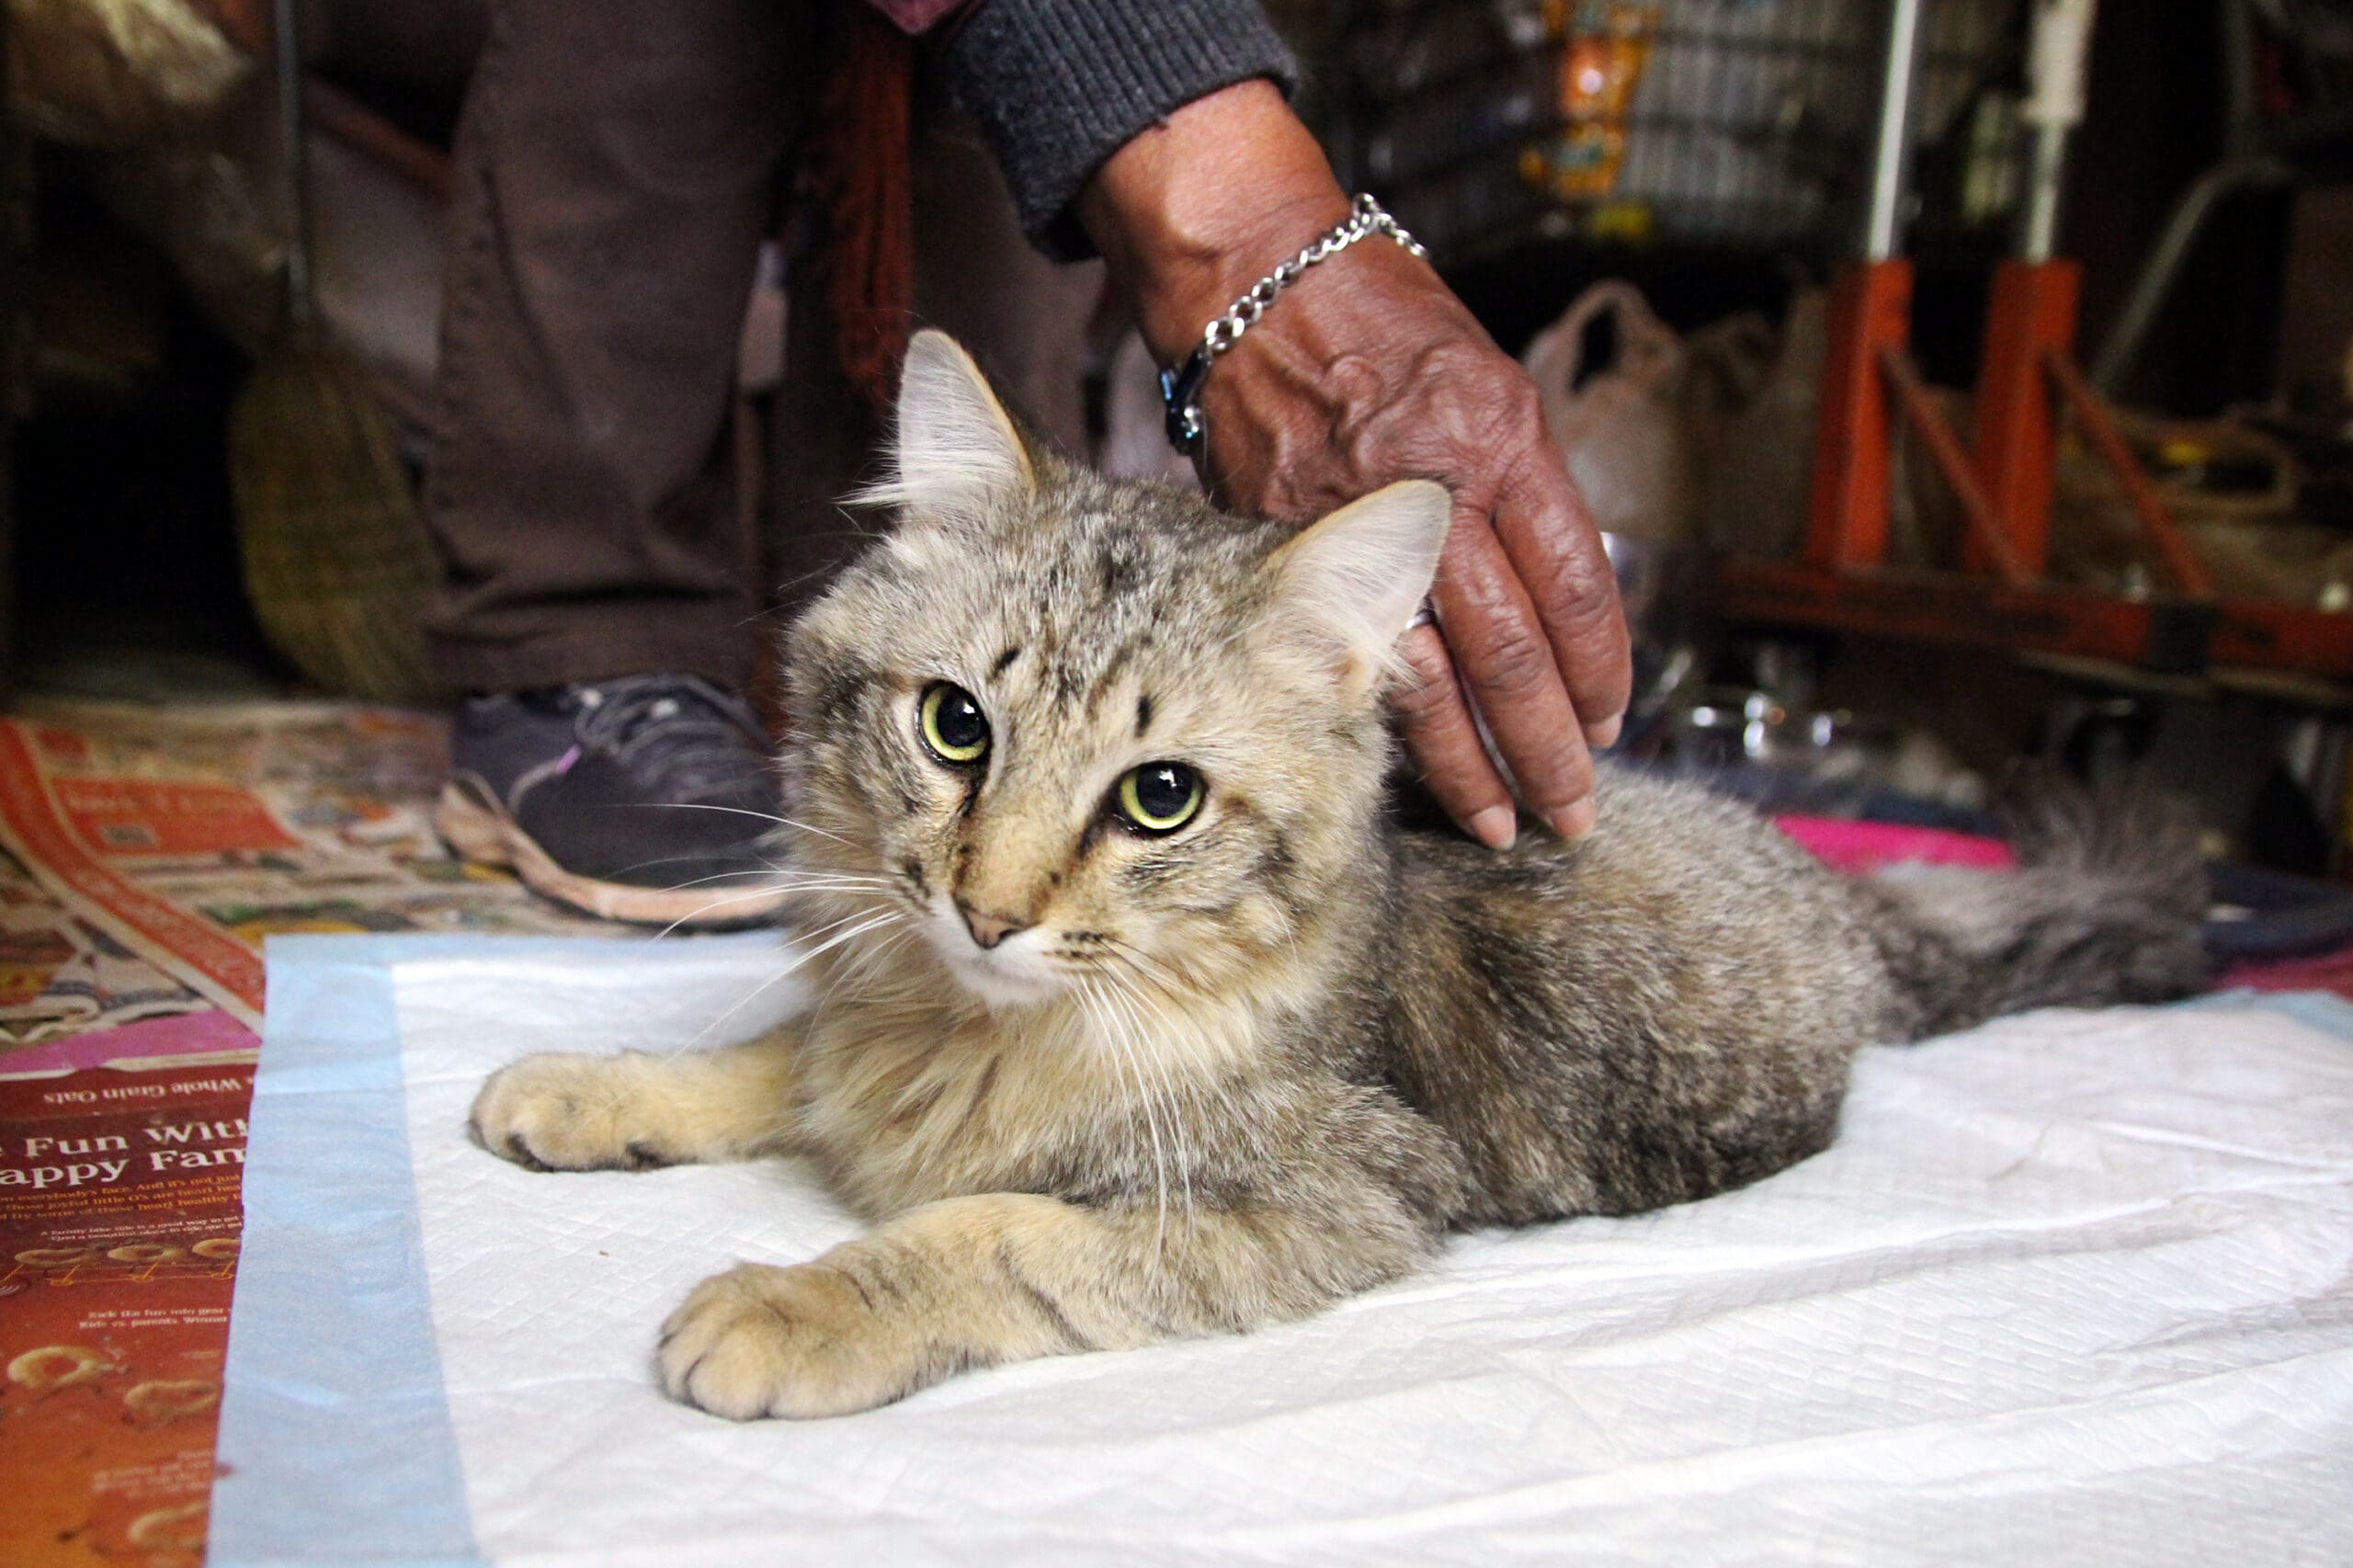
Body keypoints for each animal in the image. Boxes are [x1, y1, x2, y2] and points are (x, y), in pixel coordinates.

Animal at [472, 329, 2202, 1412]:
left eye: (1160, 799)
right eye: (957, 725)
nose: (987, 910)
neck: (972, 1032)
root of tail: (1845, 894)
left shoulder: (1330, 1196)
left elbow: (989, 1233)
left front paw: (795, 1302)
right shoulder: (864, 1028)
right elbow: (770, 1056)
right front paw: (589, 1086)